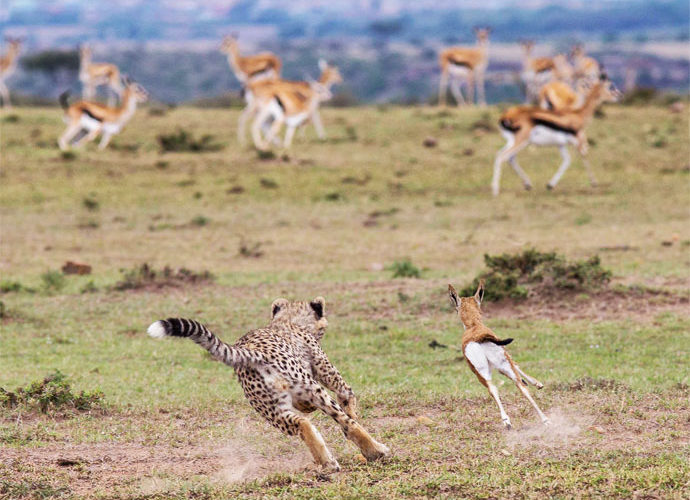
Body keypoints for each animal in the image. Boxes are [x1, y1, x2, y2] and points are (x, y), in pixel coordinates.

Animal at [146, 294, 388, 470]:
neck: (288, 322)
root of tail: (250, 352)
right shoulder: (325, 372)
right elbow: (348, 398)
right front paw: (355, 419)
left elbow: (310, 409)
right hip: (312, 389)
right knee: (341, 420)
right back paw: (375, 450)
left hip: (273, 411)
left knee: (302, 424)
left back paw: (327, 462)